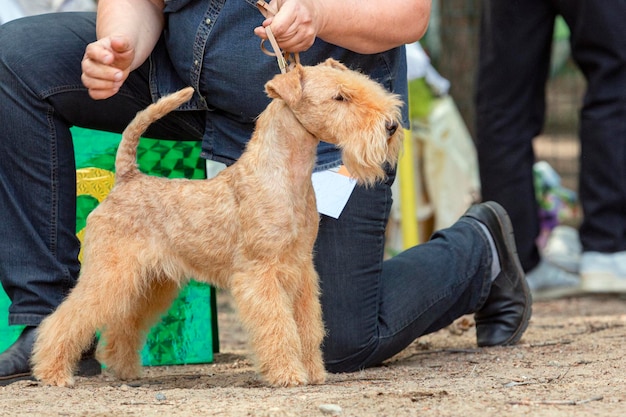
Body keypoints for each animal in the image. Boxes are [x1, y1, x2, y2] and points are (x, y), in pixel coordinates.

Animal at [33, 58, 400, 386]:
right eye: (340, 97)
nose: (392, 126)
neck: (286, 177)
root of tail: (126, 178)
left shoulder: (301, 271)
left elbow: (307, 328)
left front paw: (313, 373)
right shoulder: (262, 273)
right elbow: (279, 326)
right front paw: (288, 375)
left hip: (151, 282)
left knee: (124, 325)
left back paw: (125, 369)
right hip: (110, 273)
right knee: (65, 318)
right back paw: (52, 372)